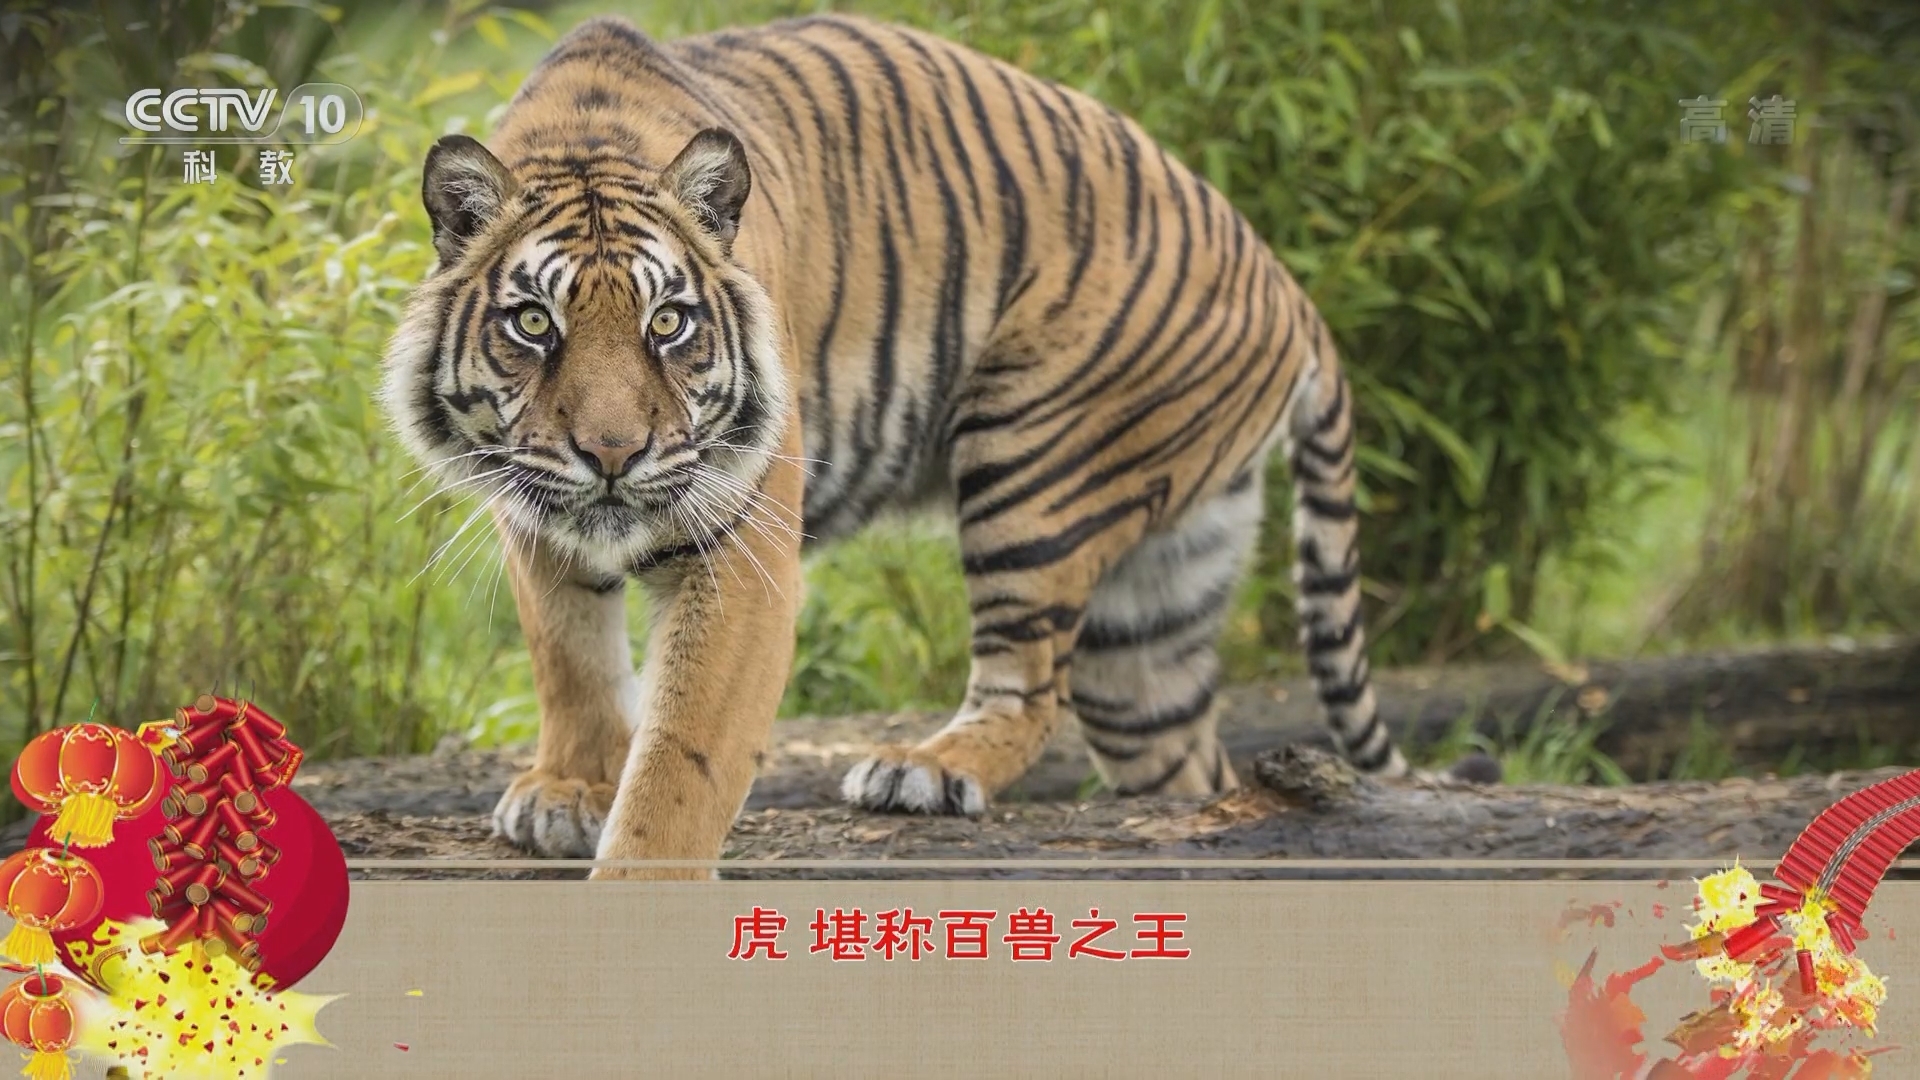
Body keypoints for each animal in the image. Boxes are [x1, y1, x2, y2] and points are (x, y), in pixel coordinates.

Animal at [380, 13, 1497, 877]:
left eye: (668, 324)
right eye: (535, 325)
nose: (613, 453)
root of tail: (1292, 286)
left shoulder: (742, 549)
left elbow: (684, 756)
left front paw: (635, 868)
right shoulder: (532, 508)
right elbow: (568, 657)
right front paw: (570, 788)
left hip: (1033, 468)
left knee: (1031, 688)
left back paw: (927, 769)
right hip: (1155, 613)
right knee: (1194, 768)